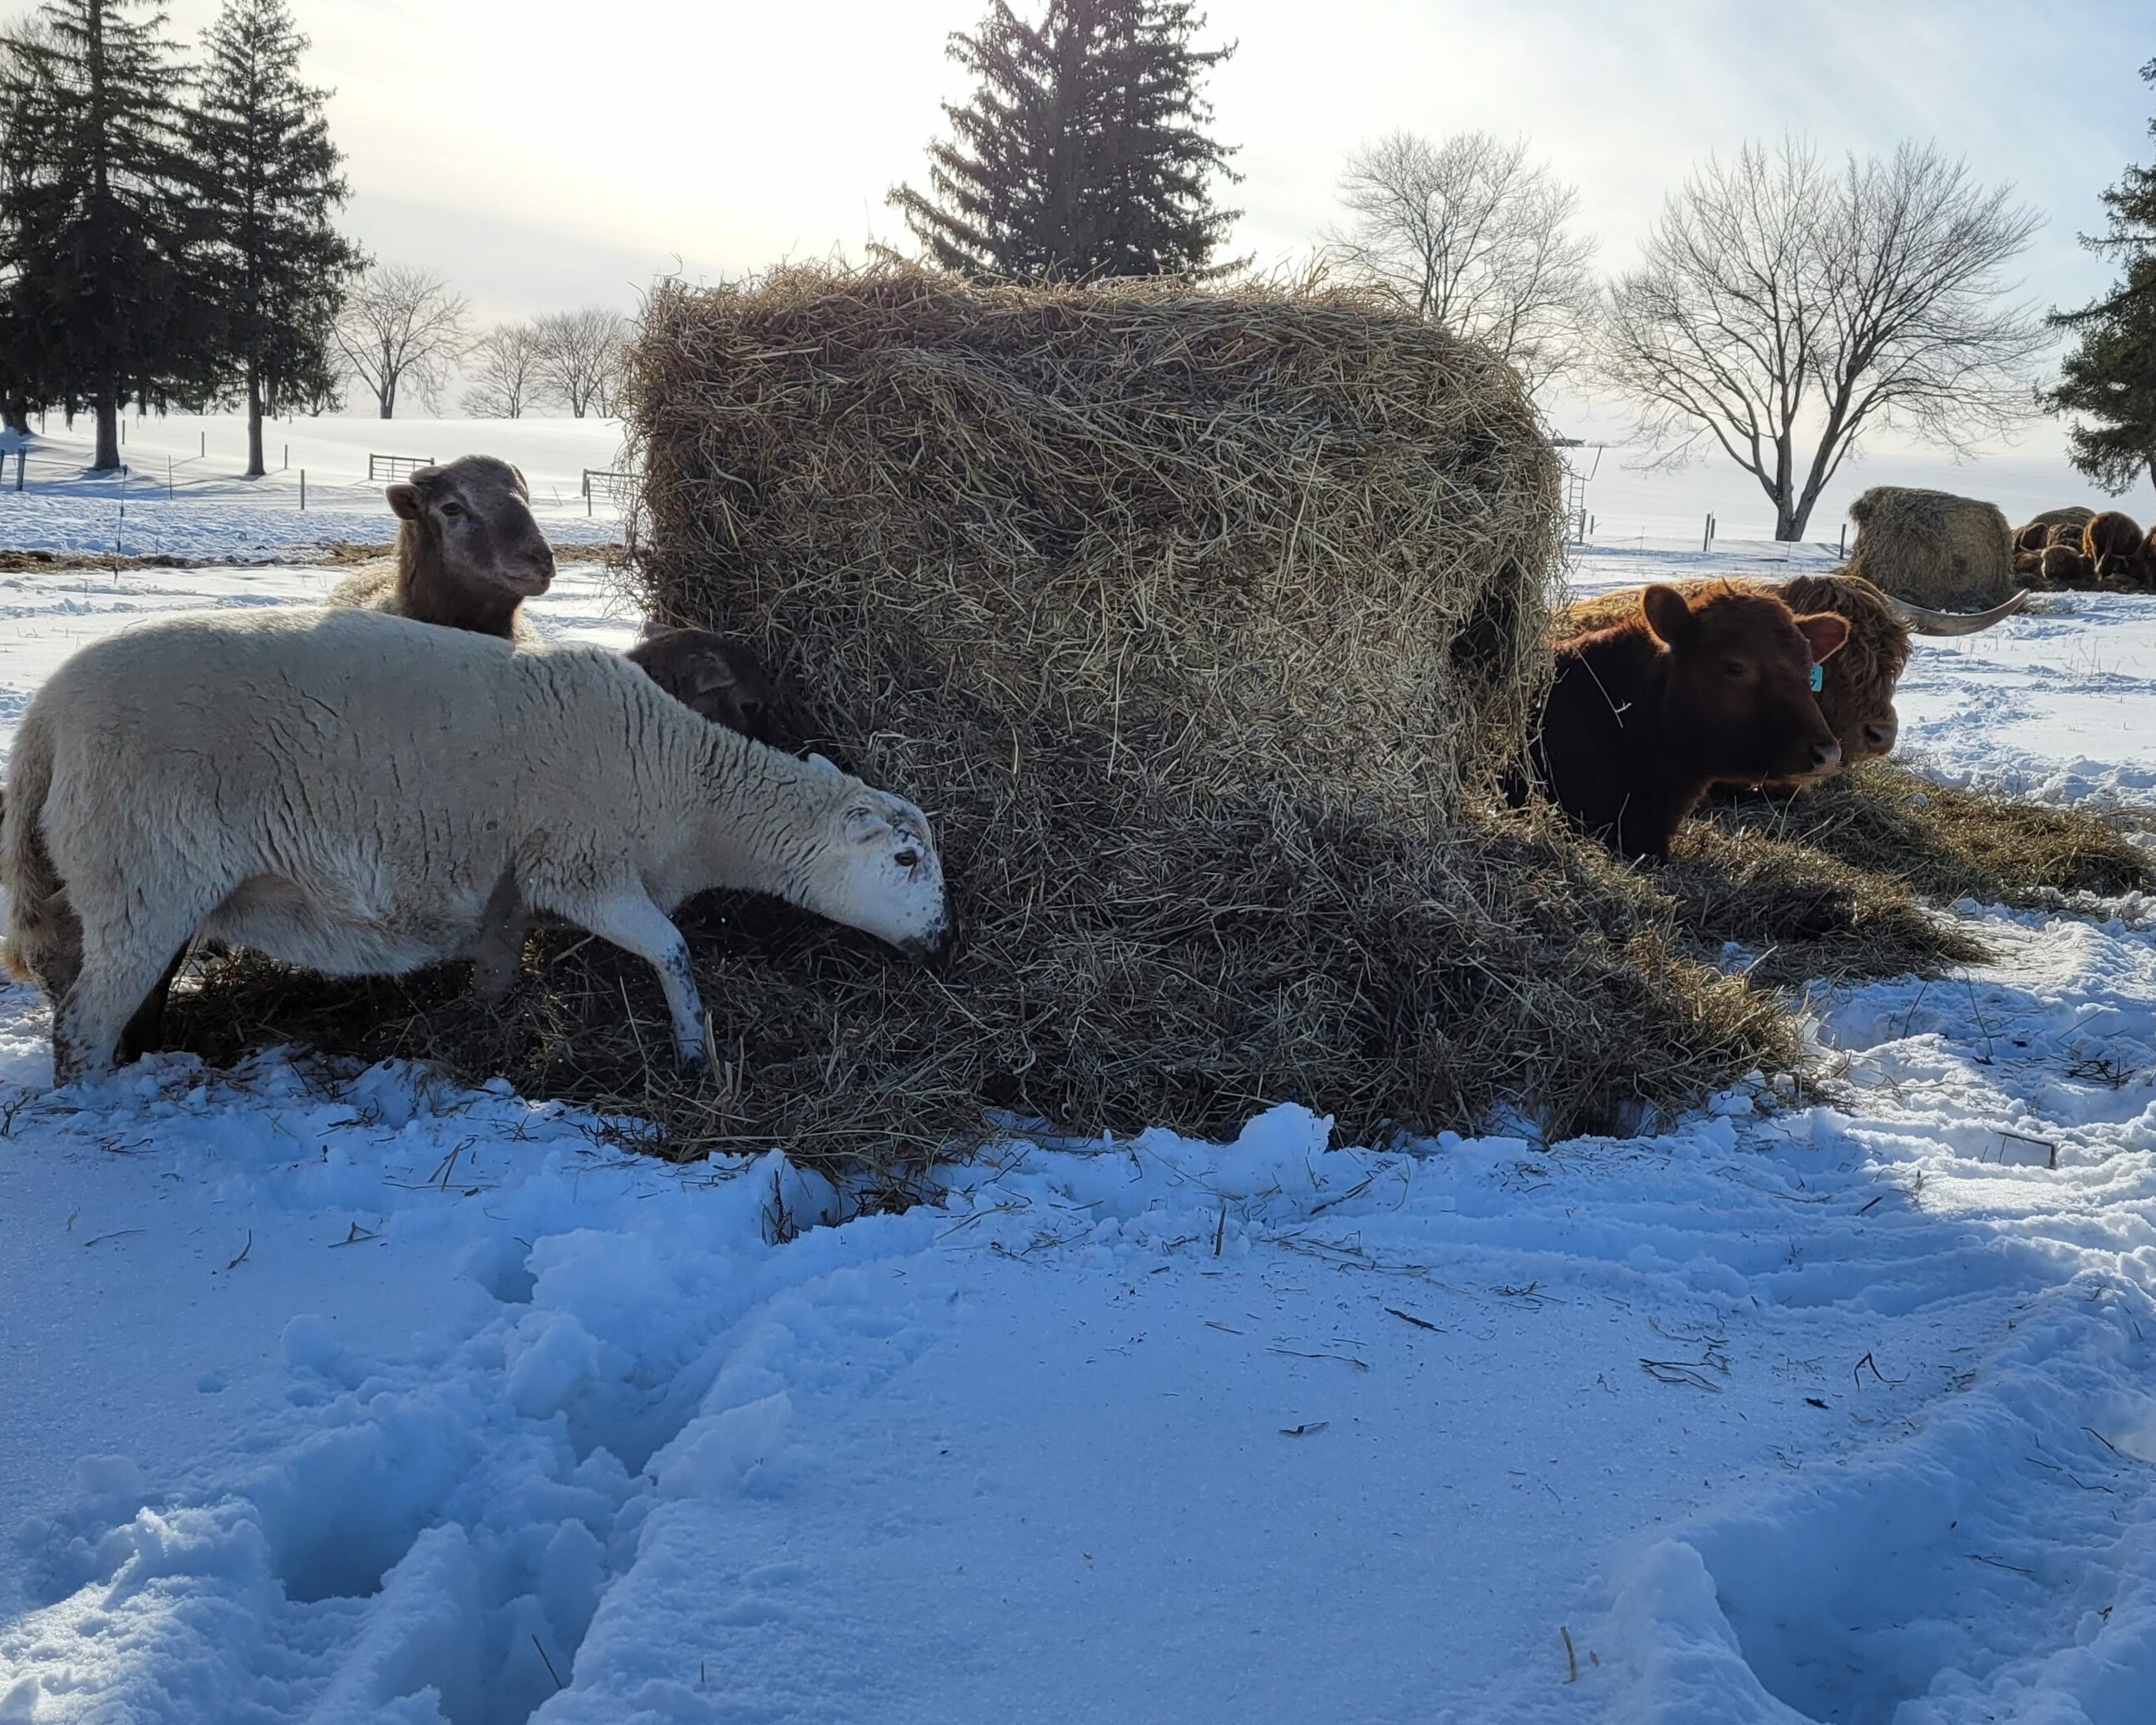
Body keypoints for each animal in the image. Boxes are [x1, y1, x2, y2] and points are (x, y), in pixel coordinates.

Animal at [0, 608, 948, 1087]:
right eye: (905, 860)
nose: (943, 941)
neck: (688, 786)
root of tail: (46, 716)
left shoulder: (510, 889)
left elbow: (497, 966)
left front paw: (488, 1030)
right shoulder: (582, 867)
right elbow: (675, 951)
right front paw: (693, 1052)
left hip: (107, 885)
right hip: (143, 875)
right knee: (84, 1024)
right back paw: (99, 1108)